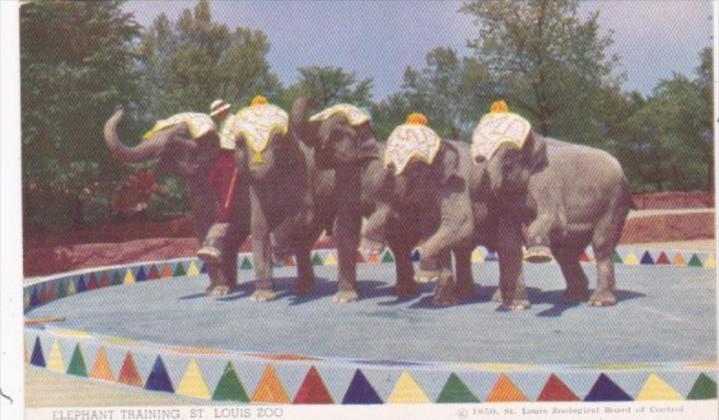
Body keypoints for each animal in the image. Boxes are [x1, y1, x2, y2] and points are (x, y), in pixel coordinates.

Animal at [102, 108, 250, 298]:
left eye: (179, 135)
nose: (120, 108)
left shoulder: (233, 187)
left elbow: (230, 227)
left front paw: (220, 290)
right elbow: (203, 228)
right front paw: (214, 290)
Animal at [472, 103, 632, 306]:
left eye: (508, 160)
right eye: (478, 158)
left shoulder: (546, 181)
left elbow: (555, 219)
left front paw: (537, 257)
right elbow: (508, 241)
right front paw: (517, 306)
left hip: (615, 200)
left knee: (601, 243)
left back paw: (599, 302)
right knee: (565, 251)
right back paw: (573, 297)